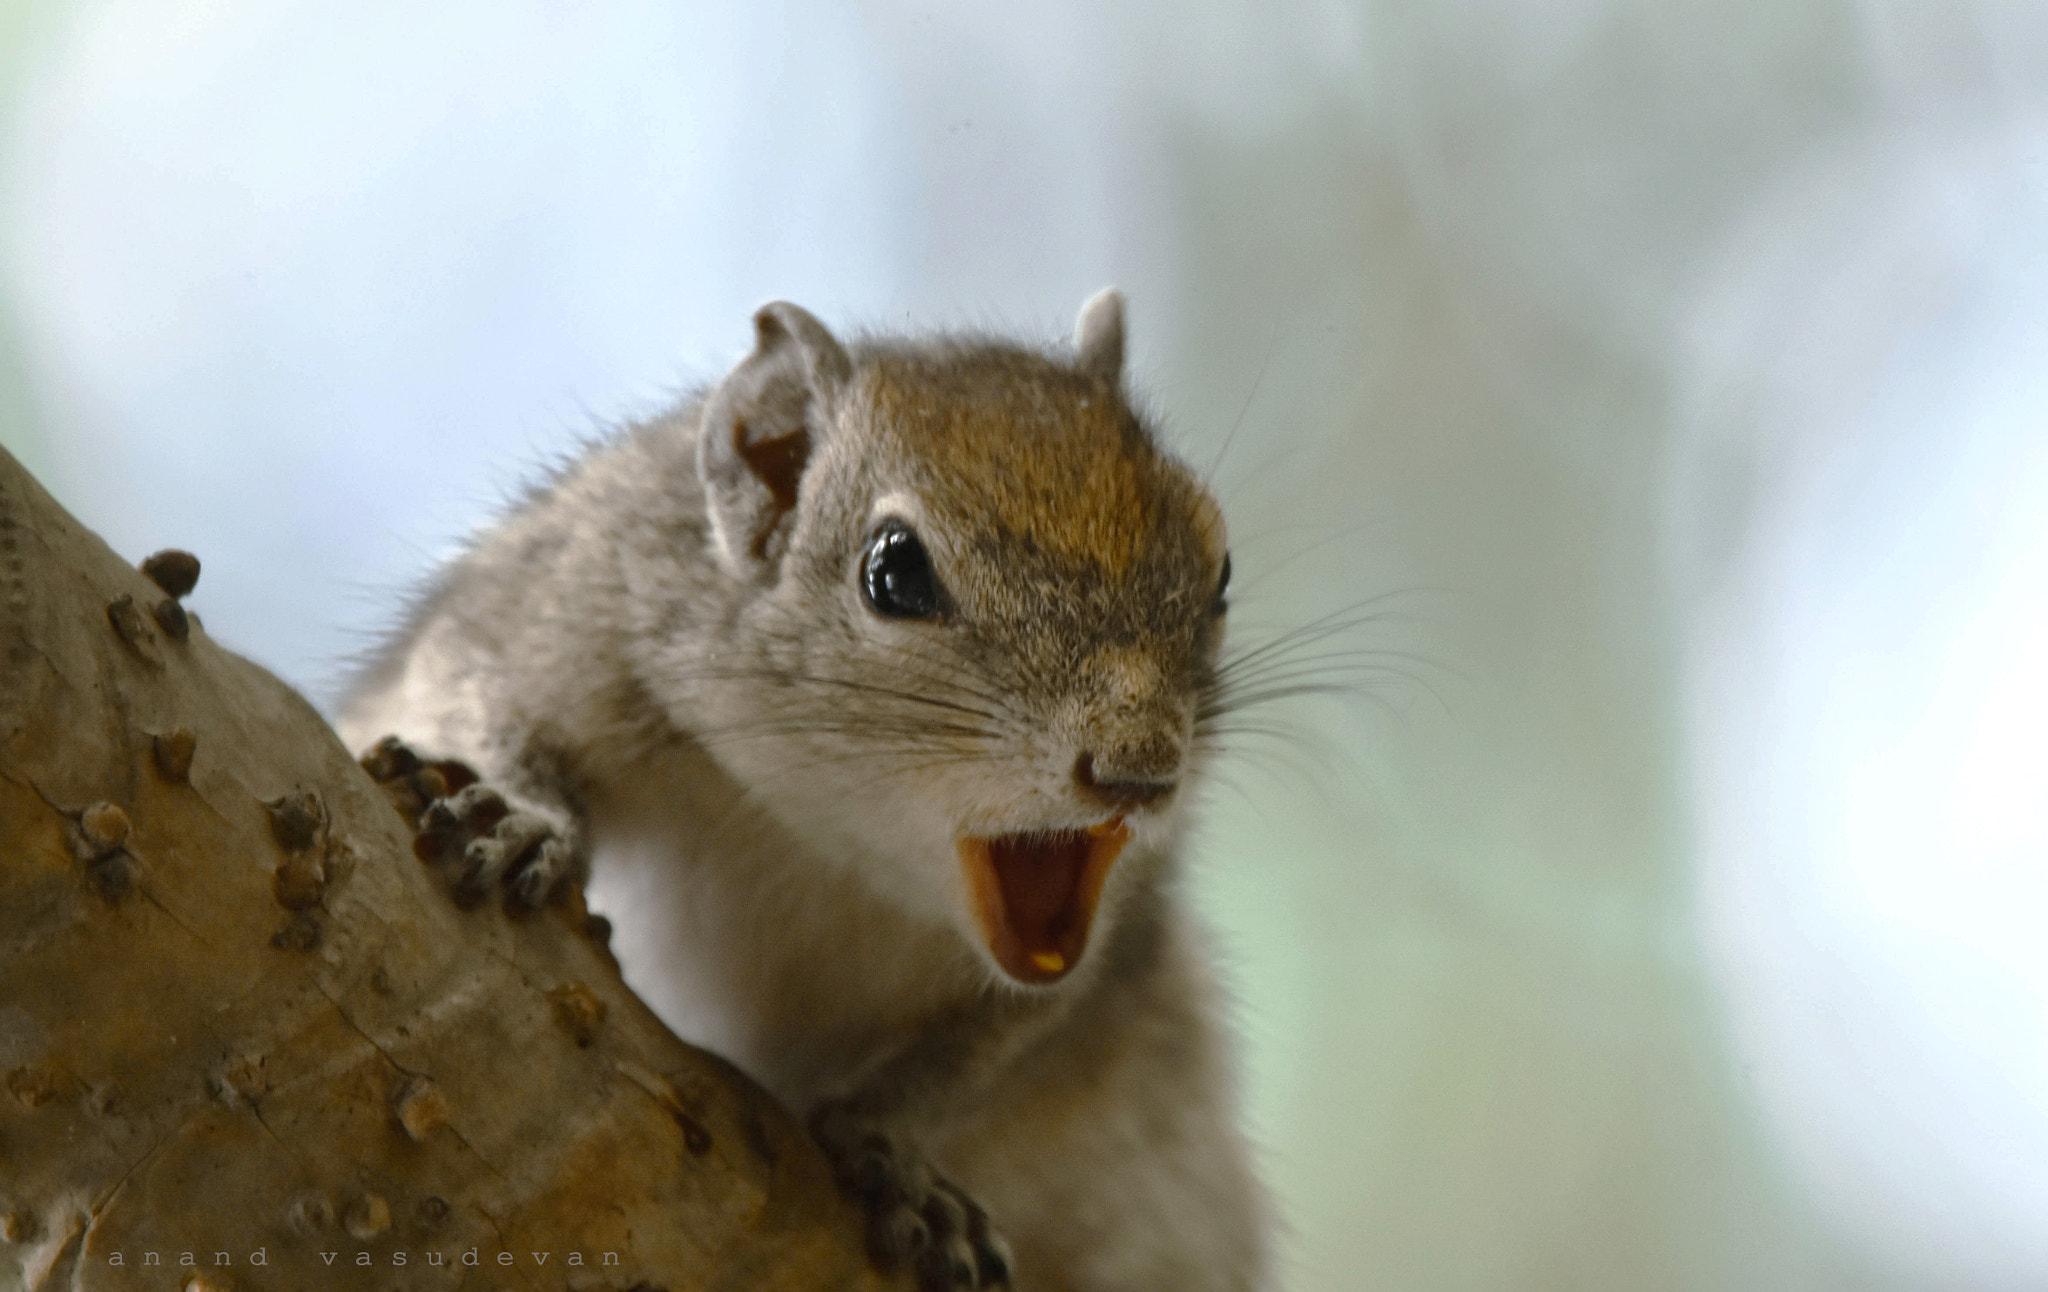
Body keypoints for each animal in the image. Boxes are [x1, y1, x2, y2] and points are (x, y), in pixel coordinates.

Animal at [335, 290, 1270, 1292]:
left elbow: (996, 1041)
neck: (828, 840)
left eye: (1222, 569)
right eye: (894, 572)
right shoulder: (569, 593)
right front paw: (520, 814)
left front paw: (893, 1153)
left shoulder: (1105, 938)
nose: (1141, 770)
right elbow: (462, 687)